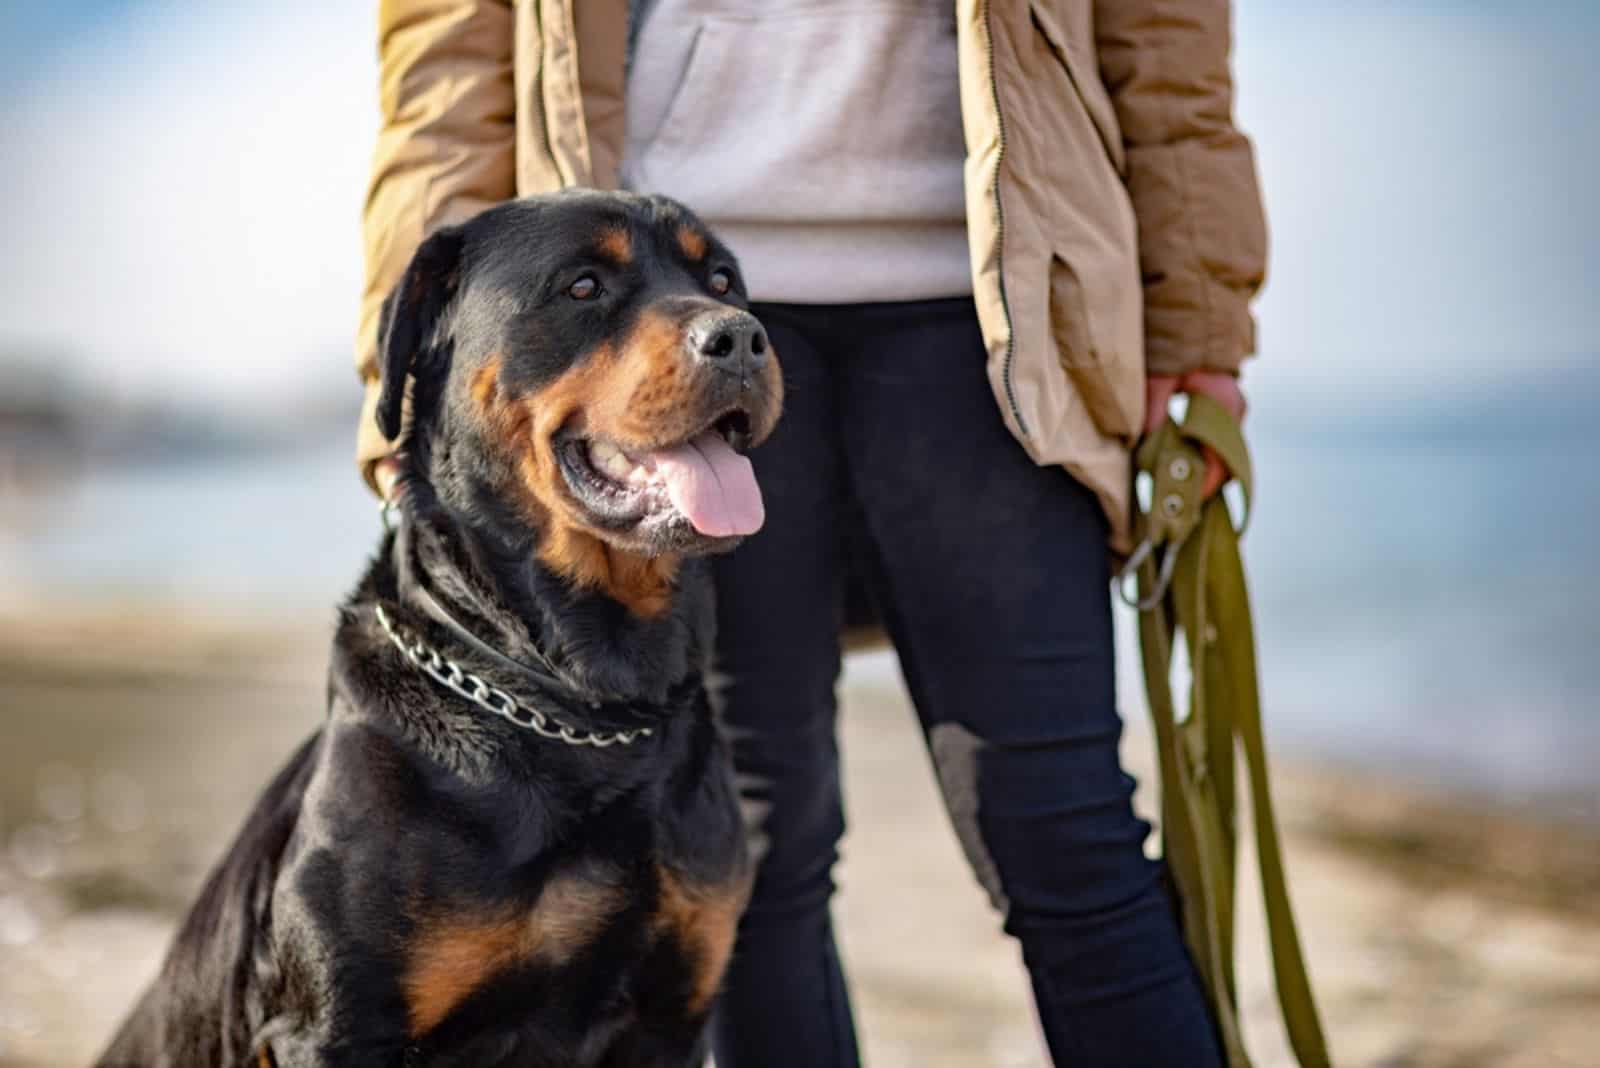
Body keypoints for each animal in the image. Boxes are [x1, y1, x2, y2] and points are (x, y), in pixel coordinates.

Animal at [96, 194, 784, 1068]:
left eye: (723, 279)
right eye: (584, 286)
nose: (740, 336)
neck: (582, 706)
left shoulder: (671, 1016)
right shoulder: (337, 1028)